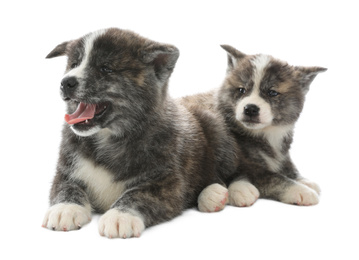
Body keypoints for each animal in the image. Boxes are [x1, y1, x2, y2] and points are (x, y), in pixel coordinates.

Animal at [42, 28, 238, 238]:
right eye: (74, 64)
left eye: (105, 69)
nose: (65, 82)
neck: (108, 138)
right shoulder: (65, 170)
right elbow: (66, 187)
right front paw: (65, 209)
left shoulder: (167, 183)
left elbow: (138, 194)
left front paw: (120, 216)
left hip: (217, 135)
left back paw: (215, 194)